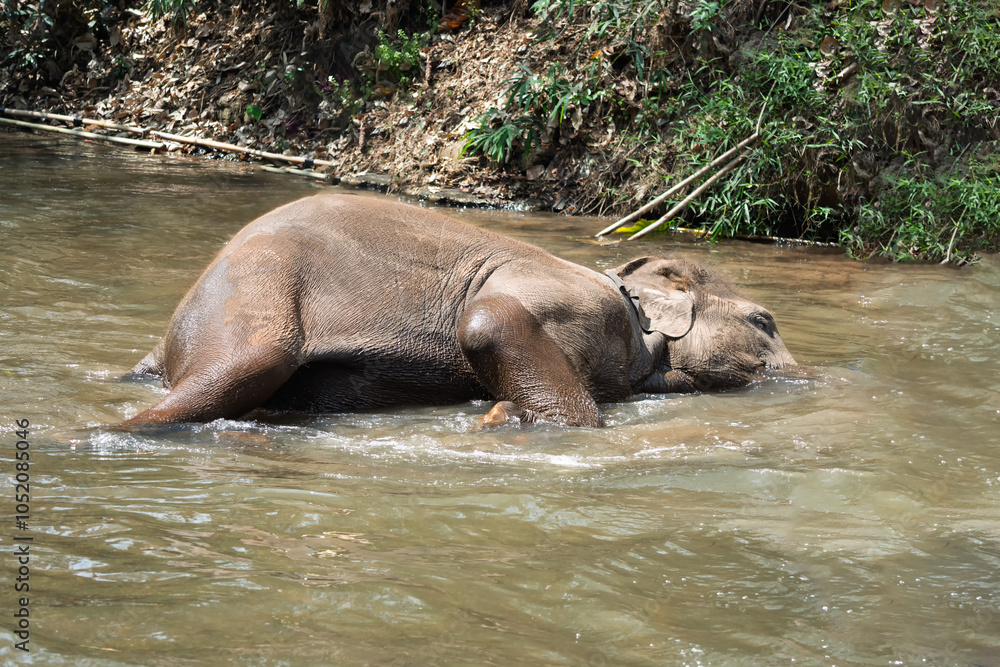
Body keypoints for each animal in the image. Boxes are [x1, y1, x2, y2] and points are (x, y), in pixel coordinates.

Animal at [122, 194, 797, 428]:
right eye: (764, 322)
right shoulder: (575, 296)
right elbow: (489, 319)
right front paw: (509, 419)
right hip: (255, 289)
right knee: (249, 362)